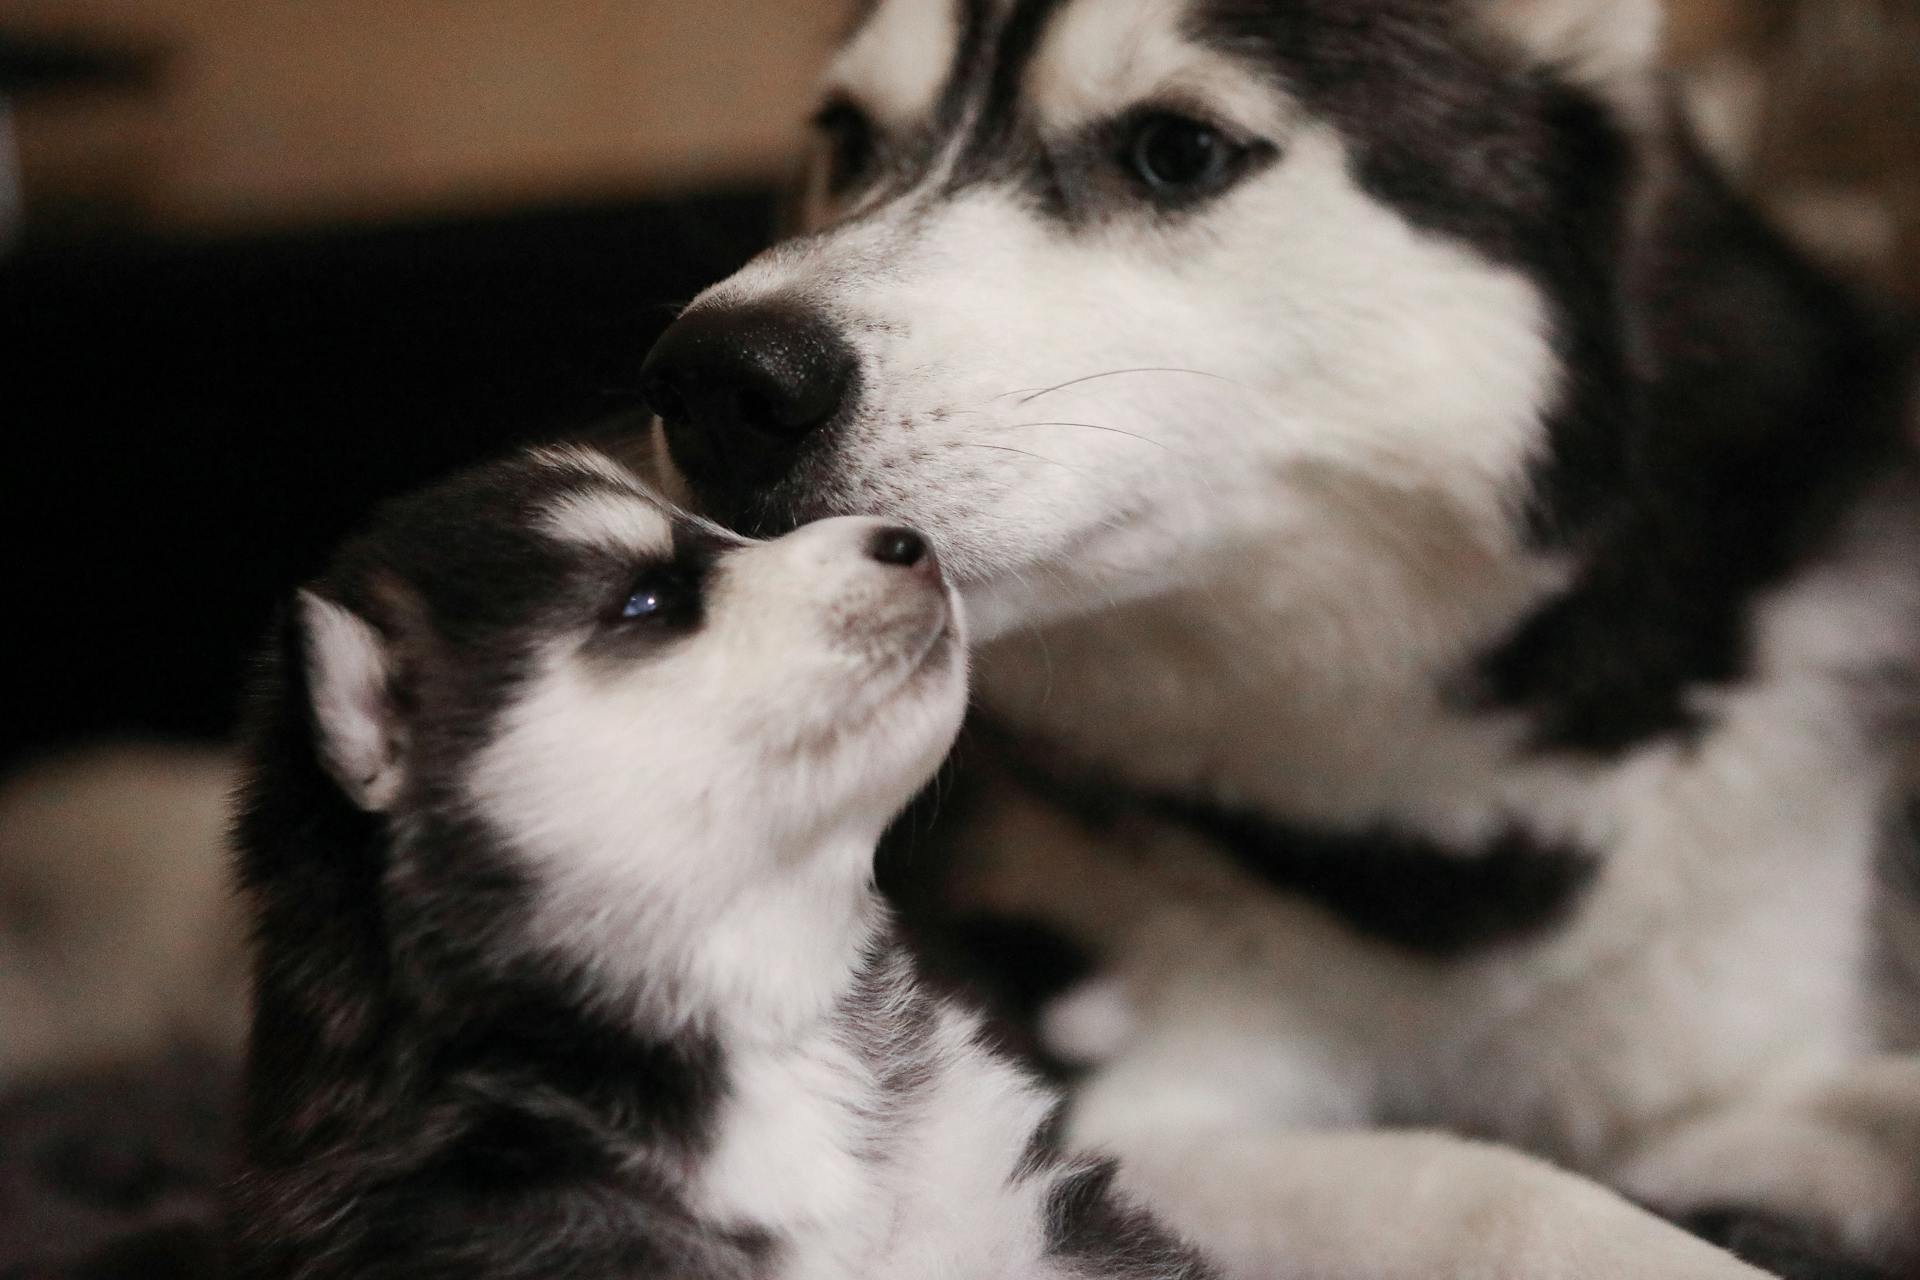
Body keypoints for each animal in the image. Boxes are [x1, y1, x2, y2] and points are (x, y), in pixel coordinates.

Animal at [637, 0, 1920, 1274]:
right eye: (849, 136)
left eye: (1177, 150)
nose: (719, 379)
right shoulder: (1057, 1114)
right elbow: (1495, 1193)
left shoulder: (1692, 1068)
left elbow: (1864, 1096)